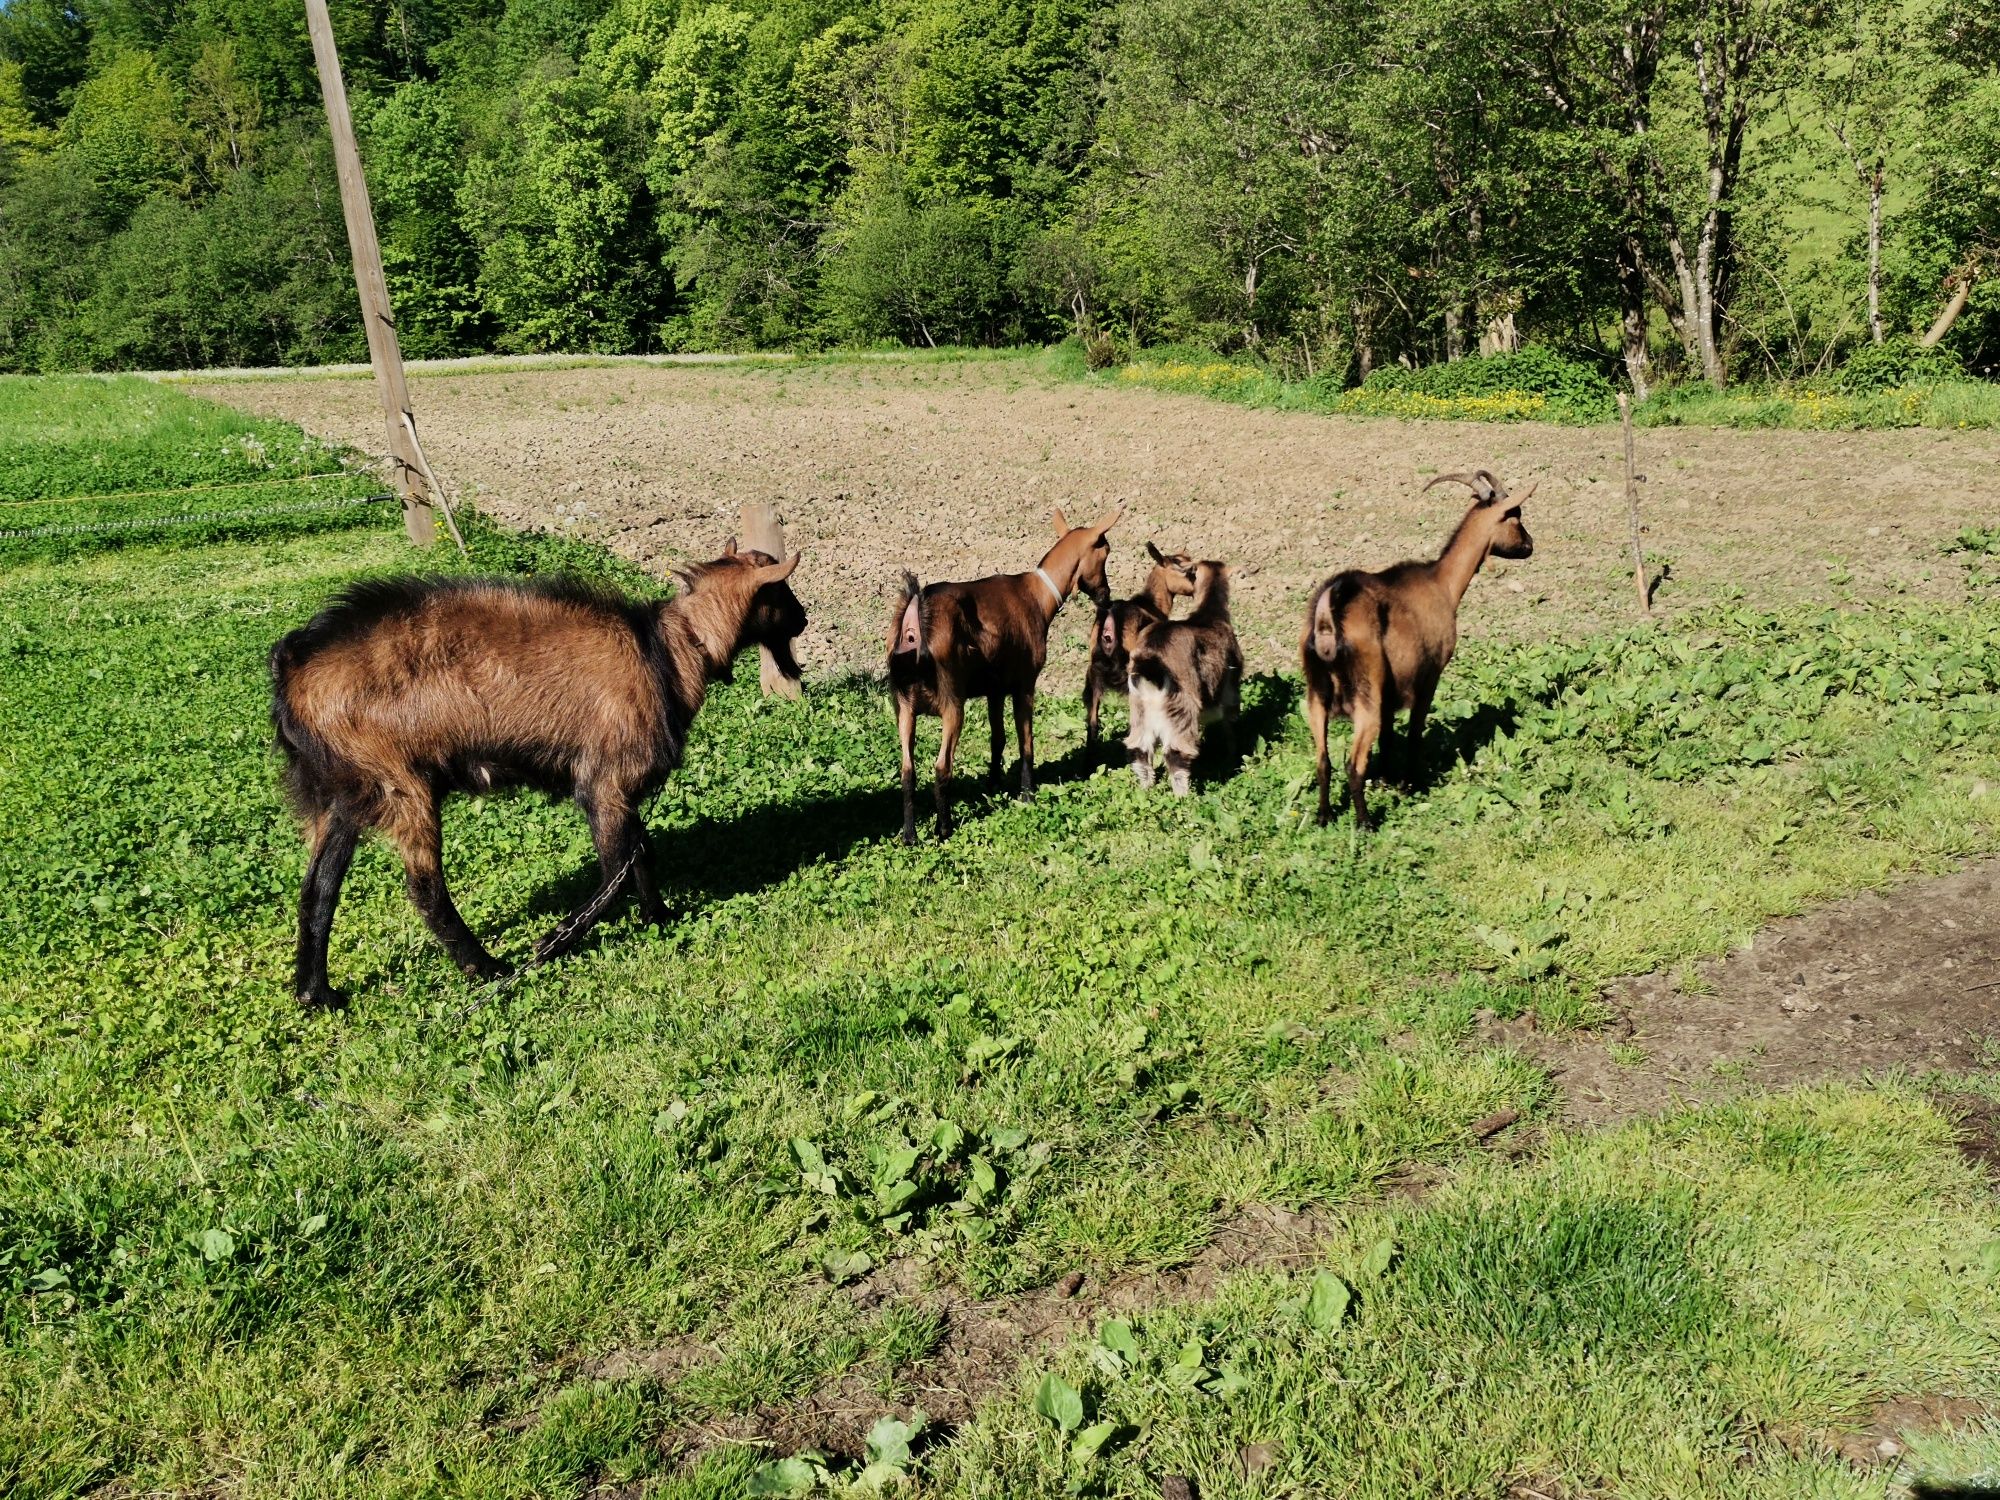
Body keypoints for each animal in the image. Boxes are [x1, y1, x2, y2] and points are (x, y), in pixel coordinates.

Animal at [272, 544, 804, 1012]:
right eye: (781, 592)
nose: (805, 618)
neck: (667, 655)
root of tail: (292, 667)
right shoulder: (605, 781)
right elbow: (617, 870)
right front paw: (554, 940)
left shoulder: (621, 788)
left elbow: (640, 855)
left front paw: (659, 917)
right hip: (401, 782)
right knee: (424, 888)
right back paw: (487, 967)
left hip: (344, 790)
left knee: (319, 886)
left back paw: (317, 994)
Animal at [892, 508, 1128, 848]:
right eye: (1105, 551)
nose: (1106, 597)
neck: (1038, 595)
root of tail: (915, 614)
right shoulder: (1024, 683)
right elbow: (1025, 740)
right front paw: (1027, 794)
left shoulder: (995, 690)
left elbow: (998, 738)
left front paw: (993, 786)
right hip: (952, 703)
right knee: (942, 767)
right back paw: (944, 829)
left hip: (904, 707)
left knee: (907, 770)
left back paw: (910, 835)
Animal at [1128, 564, 1232, 800]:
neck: (1209, 615)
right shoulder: (1229, 685)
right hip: (1180, 706)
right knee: (1176, 752)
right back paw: (1183, 797)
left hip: (1138, 709)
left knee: (1140, 749)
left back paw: (1146, 790)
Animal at [1304, 468, 1536, 828]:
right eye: (1516, 516)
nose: (1529, 546)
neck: (1441, 583)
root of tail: (1330, 611)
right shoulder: (1429, 675)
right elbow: (1414, 733)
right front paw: (1409, 784)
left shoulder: (1389, 691)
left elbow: (1388, 738)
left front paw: (1387, 780)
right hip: (1365, 696)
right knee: (1353, 764)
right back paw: (1365, 824)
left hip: (1316, 696)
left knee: (1323, 760)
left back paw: (1324, 817)